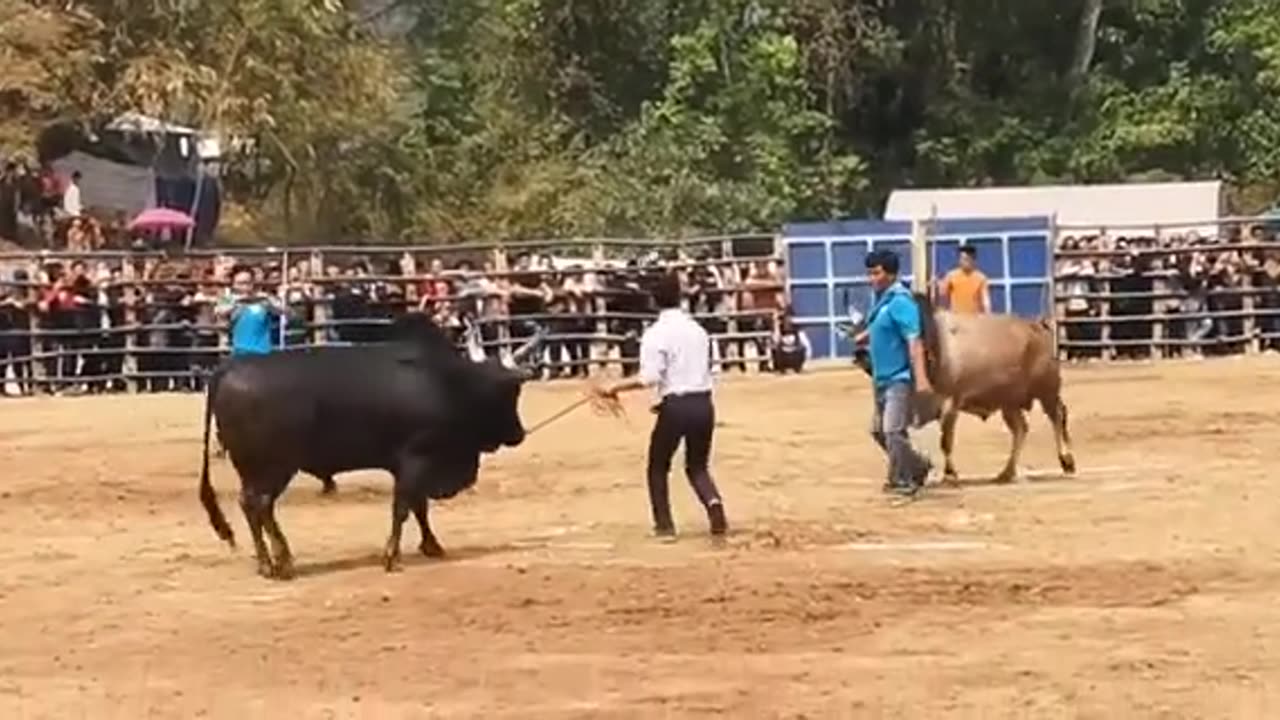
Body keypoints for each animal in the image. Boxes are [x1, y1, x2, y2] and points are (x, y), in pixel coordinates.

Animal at [198, 314, 540, 580]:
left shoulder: (408, 465)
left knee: (252, 506)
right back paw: (280, 562)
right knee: (259, 504)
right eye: (511, 391)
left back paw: (267, 562)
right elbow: (403, 508)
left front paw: (432, 546)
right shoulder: (417, 458)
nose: (519, 434)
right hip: (273, 466)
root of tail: (229, 368)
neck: (448, 382)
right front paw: (391, 557)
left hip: (254, 469)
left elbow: (418, 507)